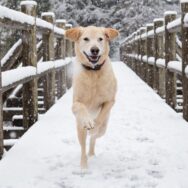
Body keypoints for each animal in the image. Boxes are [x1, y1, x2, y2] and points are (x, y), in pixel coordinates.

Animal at [65, 26, 118, 169]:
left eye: (100, 39)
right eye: (86, 39)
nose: (95, 50)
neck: (93, 72)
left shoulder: (110, 101)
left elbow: (100, 117)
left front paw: (94, 124)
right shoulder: (75, 103)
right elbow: (80, 106)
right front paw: (88, 121)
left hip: (104, 129)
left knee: (94, 138)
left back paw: (92, 151)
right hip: (79, 129)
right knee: (83, 146)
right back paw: (84, 165)